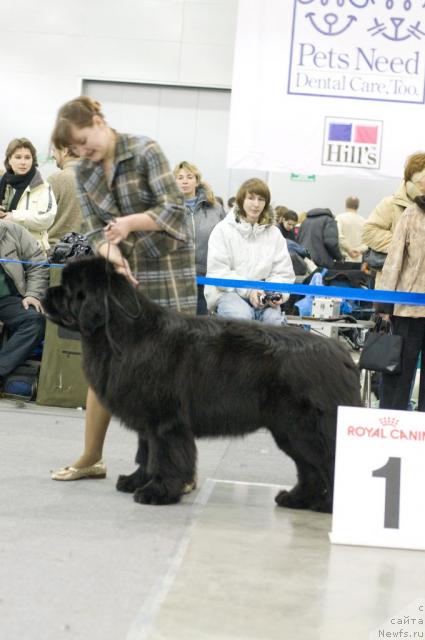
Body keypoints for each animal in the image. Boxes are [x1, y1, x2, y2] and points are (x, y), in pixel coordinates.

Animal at [43, 258, 360, 512]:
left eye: (68, 289)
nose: (47, 292)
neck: (126, 334)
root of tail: (342, 355)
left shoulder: (166, 421)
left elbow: (165, 456)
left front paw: (157, 492)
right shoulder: (148, 420)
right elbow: (146, 453)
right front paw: (136, 481)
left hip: (307, 428)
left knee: (329, 463)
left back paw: (328, 507)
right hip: (290, 431)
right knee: (310, 469)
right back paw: (297, 499)